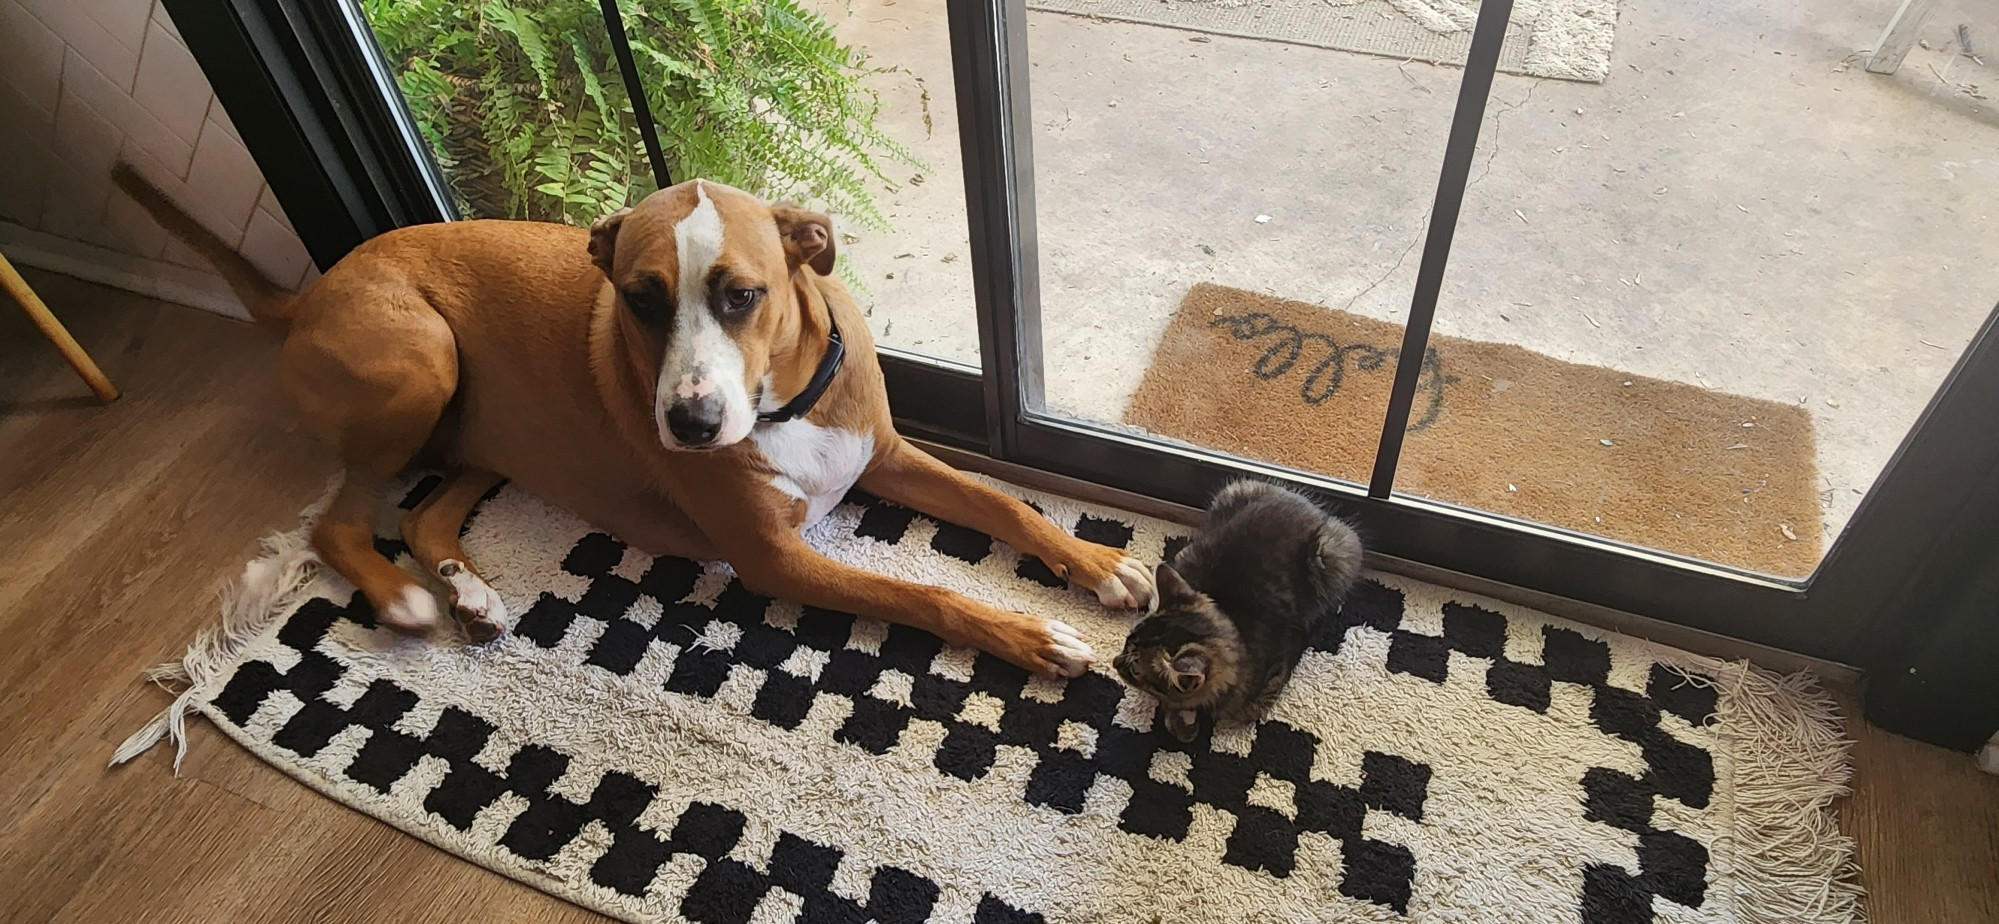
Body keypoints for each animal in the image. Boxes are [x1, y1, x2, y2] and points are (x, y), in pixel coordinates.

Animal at [116, 164, 1159, 672]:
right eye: (639, 299)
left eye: (741, 295)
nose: (691, 426)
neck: (786, 404)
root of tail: (311, 290)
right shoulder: (774, 557)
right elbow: (925, 594)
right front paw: (1036, 638)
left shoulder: (885, 453)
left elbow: (1007, 504)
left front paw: (1097, 564)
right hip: (422, 359)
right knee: (340, 521)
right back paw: (409, 598)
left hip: (483, 424)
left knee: (420, 512)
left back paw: (468, 591)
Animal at [1103, 480, 1367, 740]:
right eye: (1127, 639)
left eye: (1135, 671)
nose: (1115, 662)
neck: (1235, 628)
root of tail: (1306, 505)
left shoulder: (1263, 691)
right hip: (1234, 492)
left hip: (1332, 554)